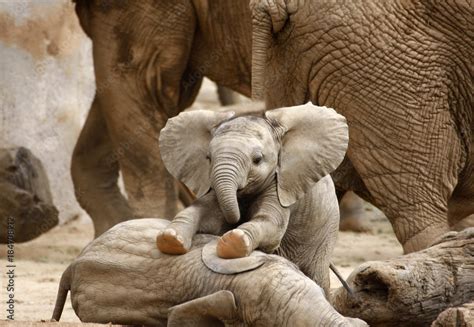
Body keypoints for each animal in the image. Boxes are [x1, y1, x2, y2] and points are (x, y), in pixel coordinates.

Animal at [157, 102, 346, 292]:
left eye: (257, 159)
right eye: (208, 158)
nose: (236, 221)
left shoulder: (281, 185)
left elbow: (271, 223)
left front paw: (233, 241)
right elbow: (203, 211)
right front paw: (170, 238)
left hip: (325, 233)